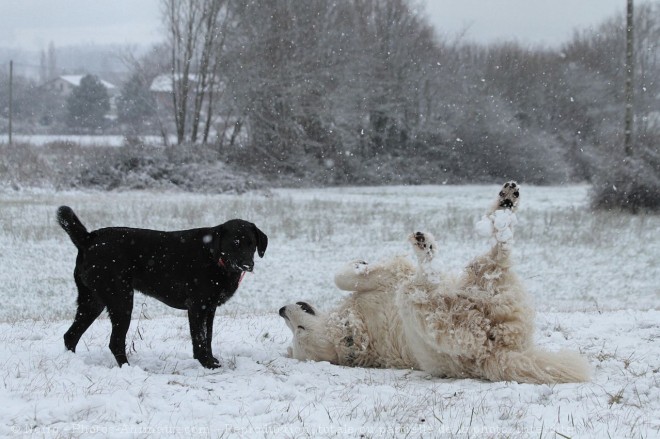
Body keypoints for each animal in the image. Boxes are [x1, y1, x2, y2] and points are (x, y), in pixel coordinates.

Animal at [56, 206, 266, 368]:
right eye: (235, 243)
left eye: (252, 243)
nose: (247, 264)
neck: (215, 257)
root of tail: (89, 238)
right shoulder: (197, 307)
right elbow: (199, 339)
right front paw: (206, 364)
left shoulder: (210, 308)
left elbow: (208, 337)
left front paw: (211, 360)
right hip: (121, 300)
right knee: (114, 342)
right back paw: (127, 368)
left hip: (92, 301)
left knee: (70, 335)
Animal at [282, 180, 592, 384]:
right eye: (298, 330)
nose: (281, 310)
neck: (357, 329)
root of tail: (495, 353)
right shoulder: (394, 277)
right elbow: (348, 277)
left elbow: (341, 277)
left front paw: (360, 263)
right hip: (433, 305)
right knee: (493, 255)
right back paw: (429, 251)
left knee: (498, 249)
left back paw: (505, 203)